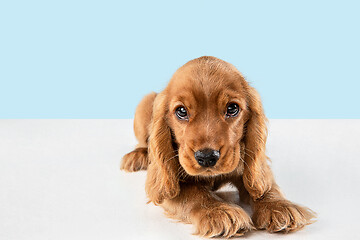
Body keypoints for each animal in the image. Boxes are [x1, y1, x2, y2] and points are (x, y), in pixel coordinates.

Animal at [121, 56, 316, 238]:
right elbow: (194, 193)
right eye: (181, 111)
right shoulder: (171, 183)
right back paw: (138, 156)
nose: (207, 157)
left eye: (232, 108)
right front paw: (219, 211)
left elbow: (265, 185)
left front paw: (279, 206)